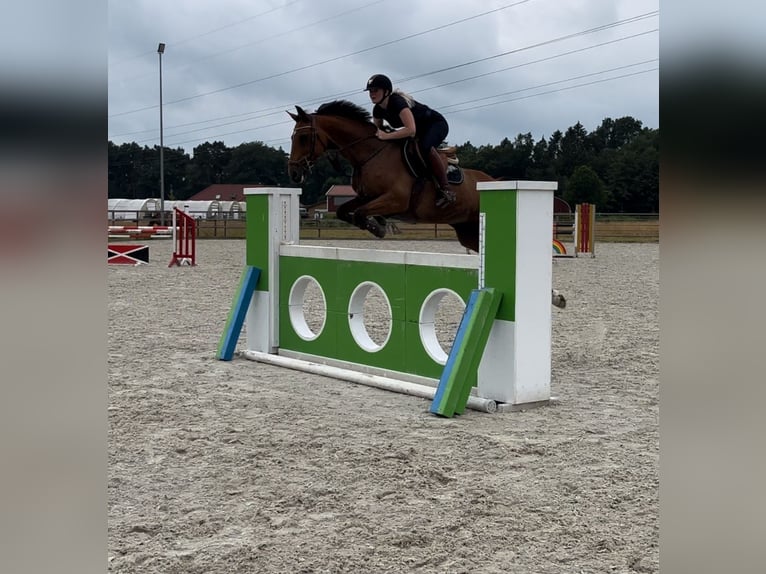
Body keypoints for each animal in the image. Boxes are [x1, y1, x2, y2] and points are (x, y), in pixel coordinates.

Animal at [287, 100, 566, 308]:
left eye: (303, 138)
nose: (294, 173)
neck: (370, 154)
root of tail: (493, 182)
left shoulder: (395, 200)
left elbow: (360, 213)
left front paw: (378, 226)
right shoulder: (365, 196)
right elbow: (347, 211)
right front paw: (378, 225)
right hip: (467, 231)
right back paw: (554, 297)